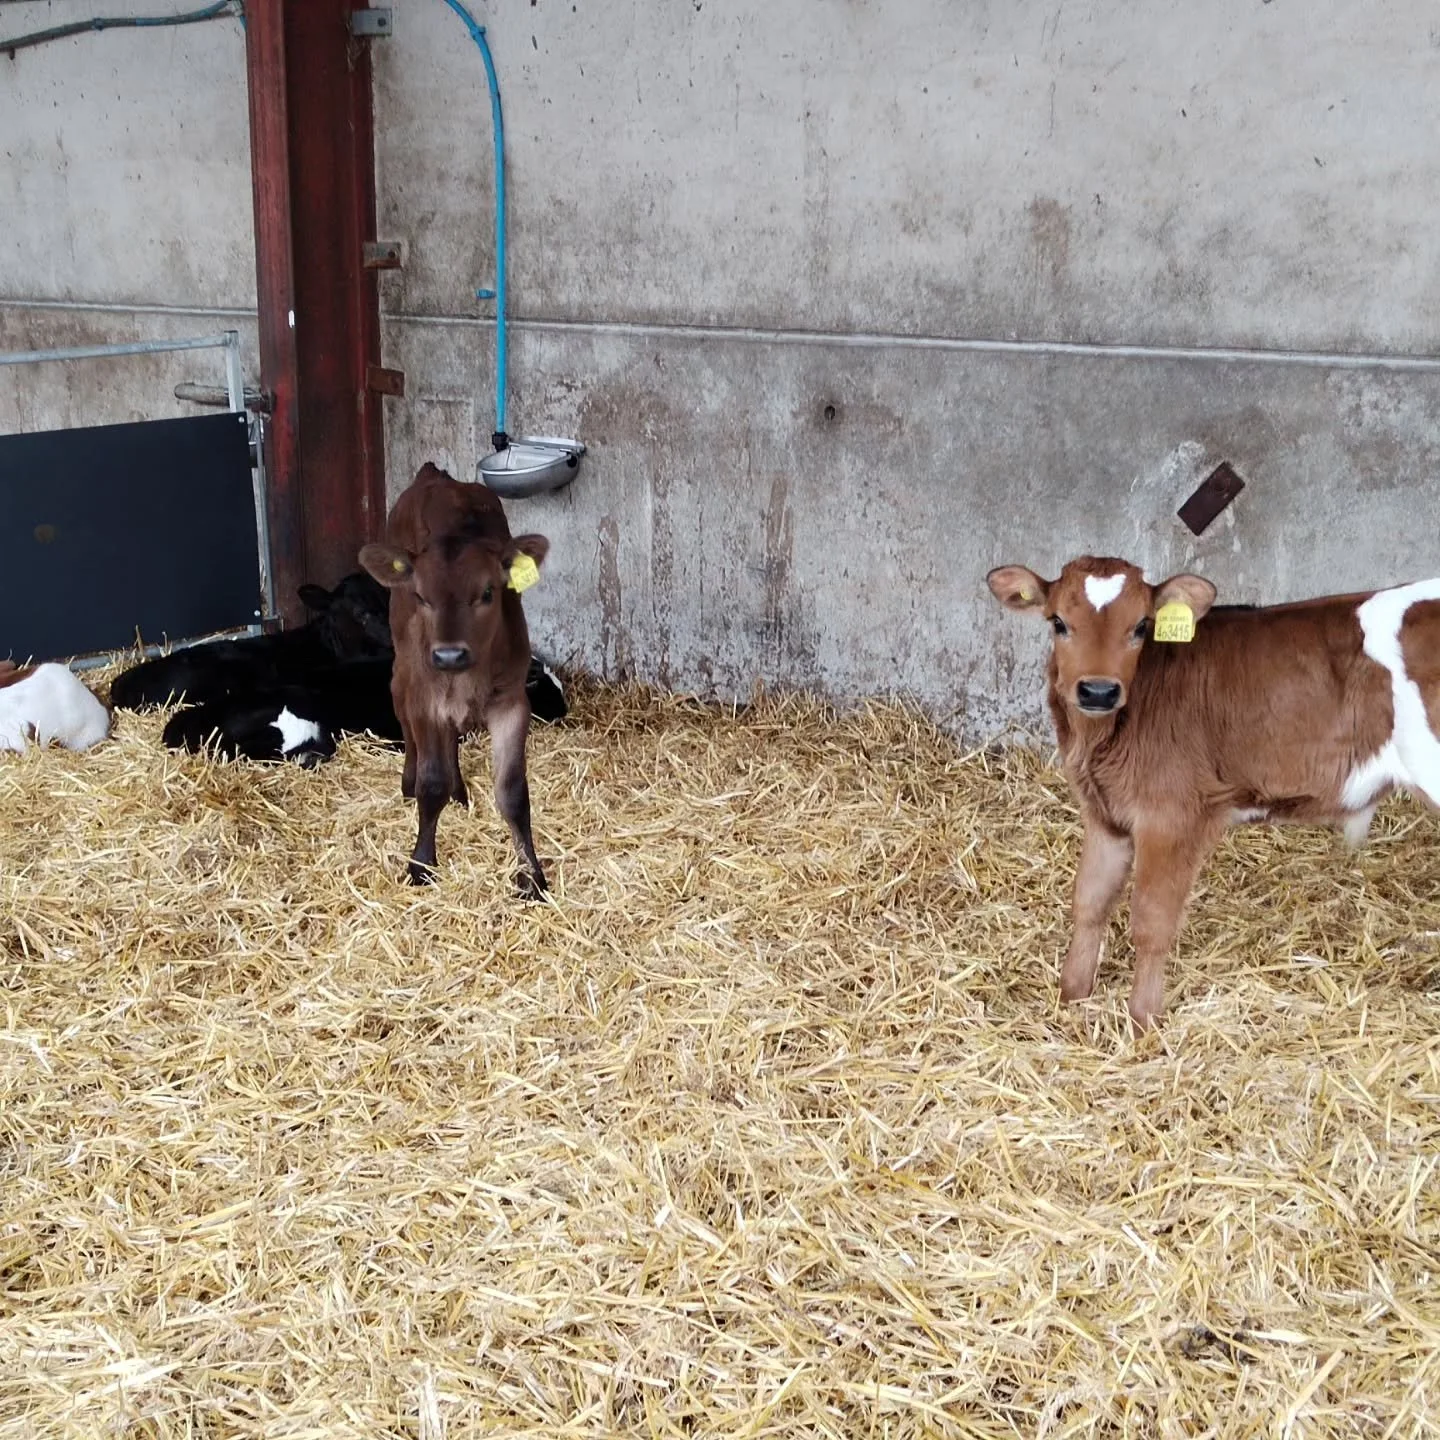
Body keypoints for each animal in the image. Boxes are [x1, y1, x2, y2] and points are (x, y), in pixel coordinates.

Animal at [359, 462, 551, 892]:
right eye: (421, 596)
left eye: (488, 592)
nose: (449, 654)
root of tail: (434, 474)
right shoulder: (425, 697)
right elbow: (432, 785)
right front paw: (421, 864)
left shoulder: (512, 701)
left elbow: (514, 792)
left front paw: (532, 875)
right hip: (404, 664)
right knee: (403, 711)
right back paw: (409, 782)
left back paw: (460, 791)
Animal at [988, 553, 1440, 1033]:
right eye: (1058, 622)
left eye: (1141, 626)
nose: (1098, 690)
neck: (1097, 743)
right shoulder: (1105, 813)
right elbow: (1089, 901)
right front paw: (1072, 998)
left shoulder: (1172, 815)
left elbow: (1151, 921)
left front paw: (1143, 1021)